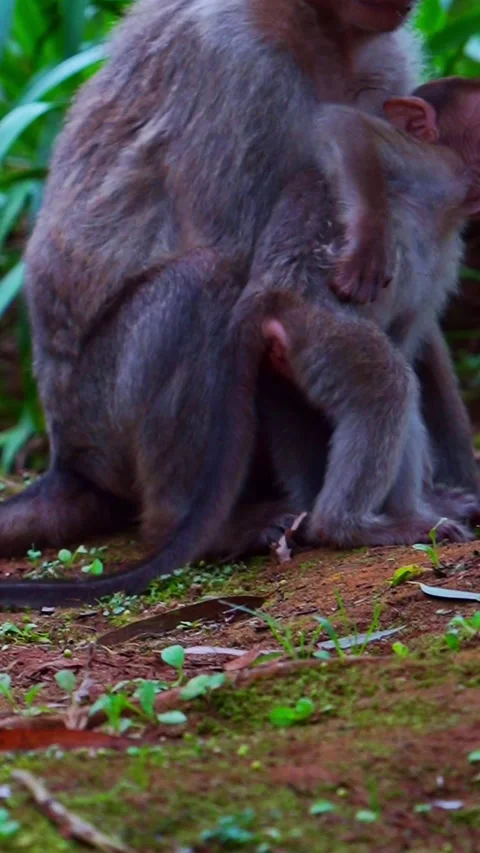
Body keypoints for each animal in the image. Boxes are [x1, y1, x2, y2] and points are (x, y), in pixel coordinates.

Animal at [0, 0, 433, 607]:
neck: (316, 27)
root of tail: (70, 460)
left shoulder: (385, 62)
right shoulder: (238, 66)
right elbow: (249, 254)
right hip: (99, 417)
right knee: (203, 284)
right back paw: (194, 524)